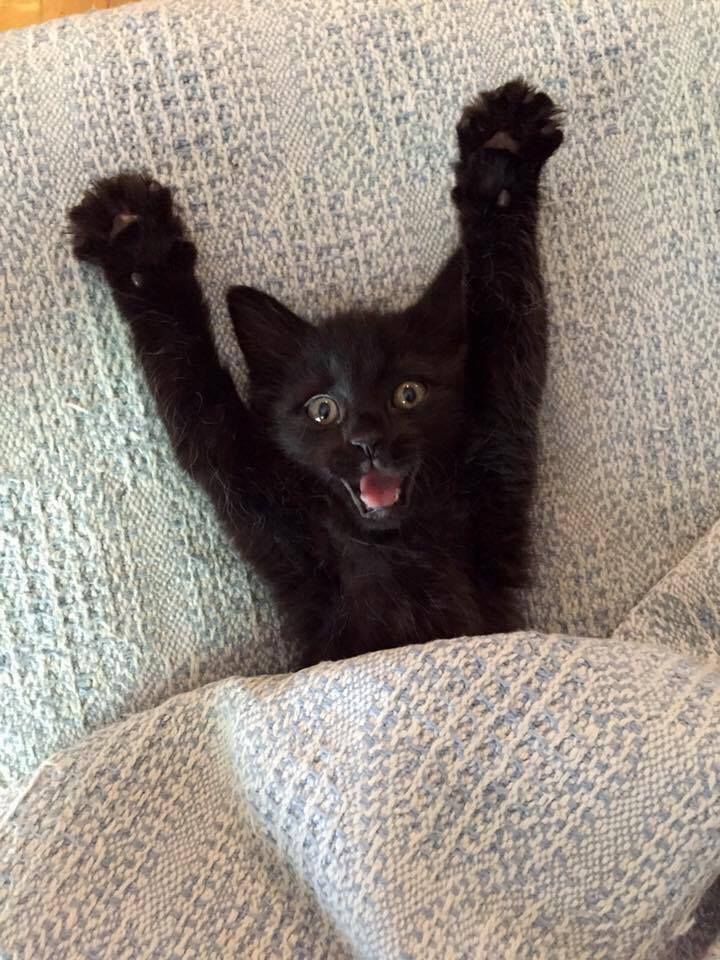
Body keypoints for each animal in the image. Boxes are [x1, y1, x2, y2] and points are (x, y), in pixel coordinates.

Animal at [69, 80, 564, 668]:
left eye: (409, 393)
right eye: (322, 409)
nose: (367, 440)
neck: (390, 542)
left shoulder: (495, 473)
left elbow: (510, 318)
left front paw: (501, 155)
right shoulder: (272, 517)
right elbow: (195, 391)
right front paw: (137, 242)